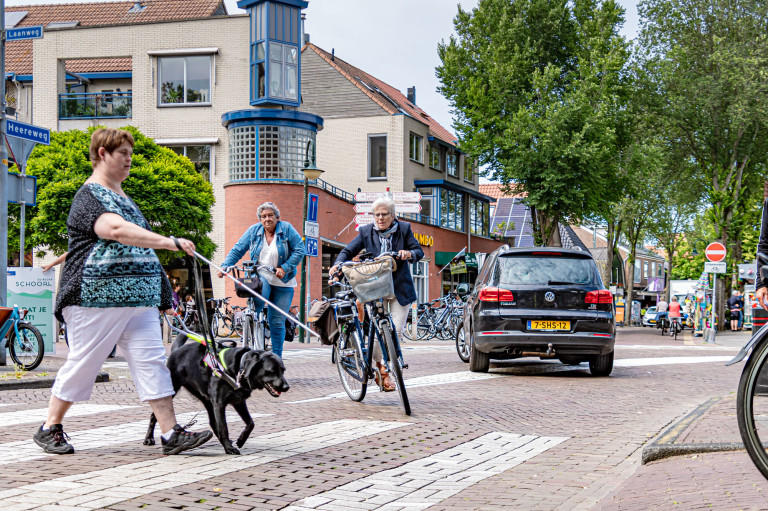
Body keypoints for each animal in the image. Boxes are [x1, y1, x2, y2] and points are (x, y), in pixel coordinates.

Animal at [143, 334, 288, 454]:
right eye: (271, 371)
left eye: (283, 370)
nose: (287, 387)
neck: (239, 368)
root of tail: (176, 350)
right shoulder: (220, 404)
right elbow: (224, 428)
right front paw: (229, 449)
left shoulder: (238, 401)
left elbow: (250, 423)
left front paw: (240, 440)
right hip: (173, 388)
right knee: (154, 415)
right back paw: (149, 438)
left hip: (207, 401)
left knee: (213, 423)